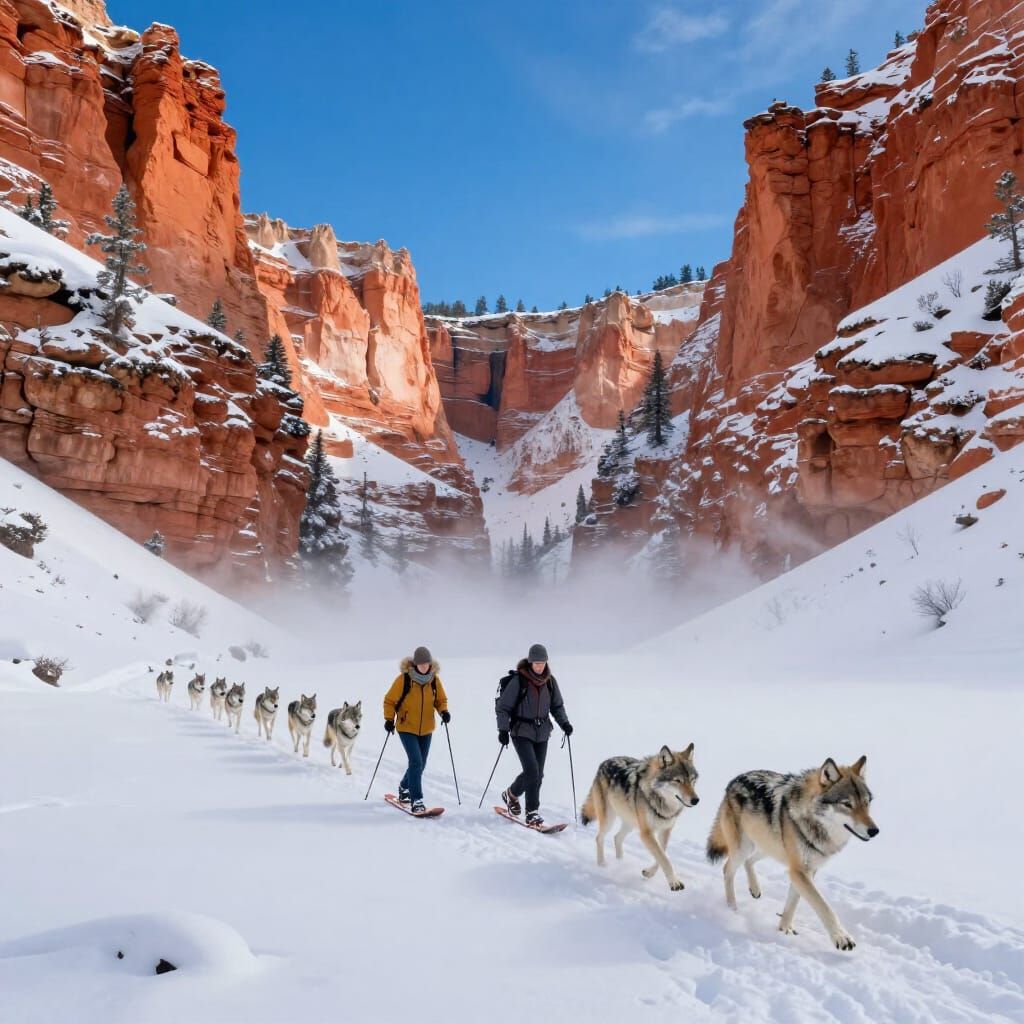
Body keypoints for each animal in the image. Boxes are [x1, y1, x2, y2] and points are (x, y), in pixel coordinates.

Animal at [581, 744, 699, 891]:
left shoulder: (665, 830)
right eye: (678, 781)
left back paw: (620, 862)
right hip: (609, 820)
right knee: (599, 838)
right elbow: (664, 858)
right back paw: (602, 864)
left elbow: (662, 855)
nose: (696, 800)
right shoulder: (646, 833)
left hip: (630, 822)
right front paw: (674, 882)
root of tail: (603, 763)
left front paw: (648, 873)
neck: (662, 804)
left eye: (692, 780)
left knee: (616, 838)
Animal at [706, 756, 878, 951]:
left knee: (749, 862)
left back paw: (755, 889)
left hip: (768, 846)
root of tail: (734, 780)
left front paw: (784, 930)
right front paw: (842, 937)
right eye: (847, 805)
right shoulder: (799, 871)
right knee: (728, 869)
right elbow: (824, 906)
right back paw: (732, 909)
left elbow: (792, 904)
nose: (874, 831)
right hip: (744, 847)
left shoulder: (805, 871)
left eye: (866, 803)